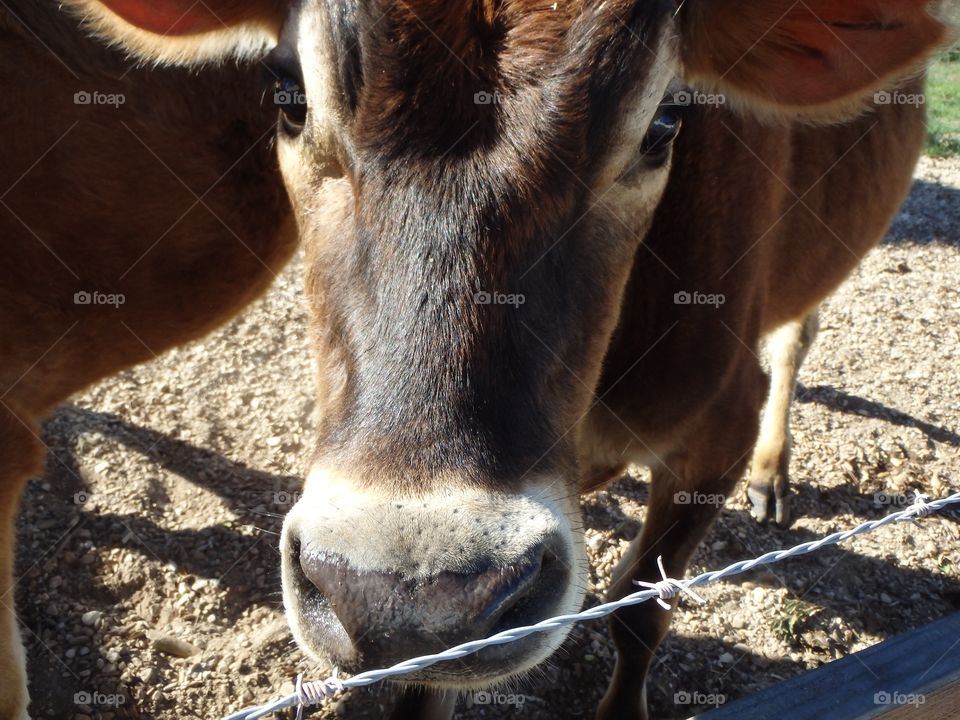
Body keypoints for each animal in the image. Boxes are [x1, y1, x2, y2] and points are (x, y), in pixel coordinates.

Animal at [0, 0, 950, 718]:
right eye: (289, 99)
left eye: (664, 123)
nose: (409, 592)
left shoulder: (715, 428)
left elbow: (641, 614)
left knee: (799, 333)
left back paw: (775, 471)